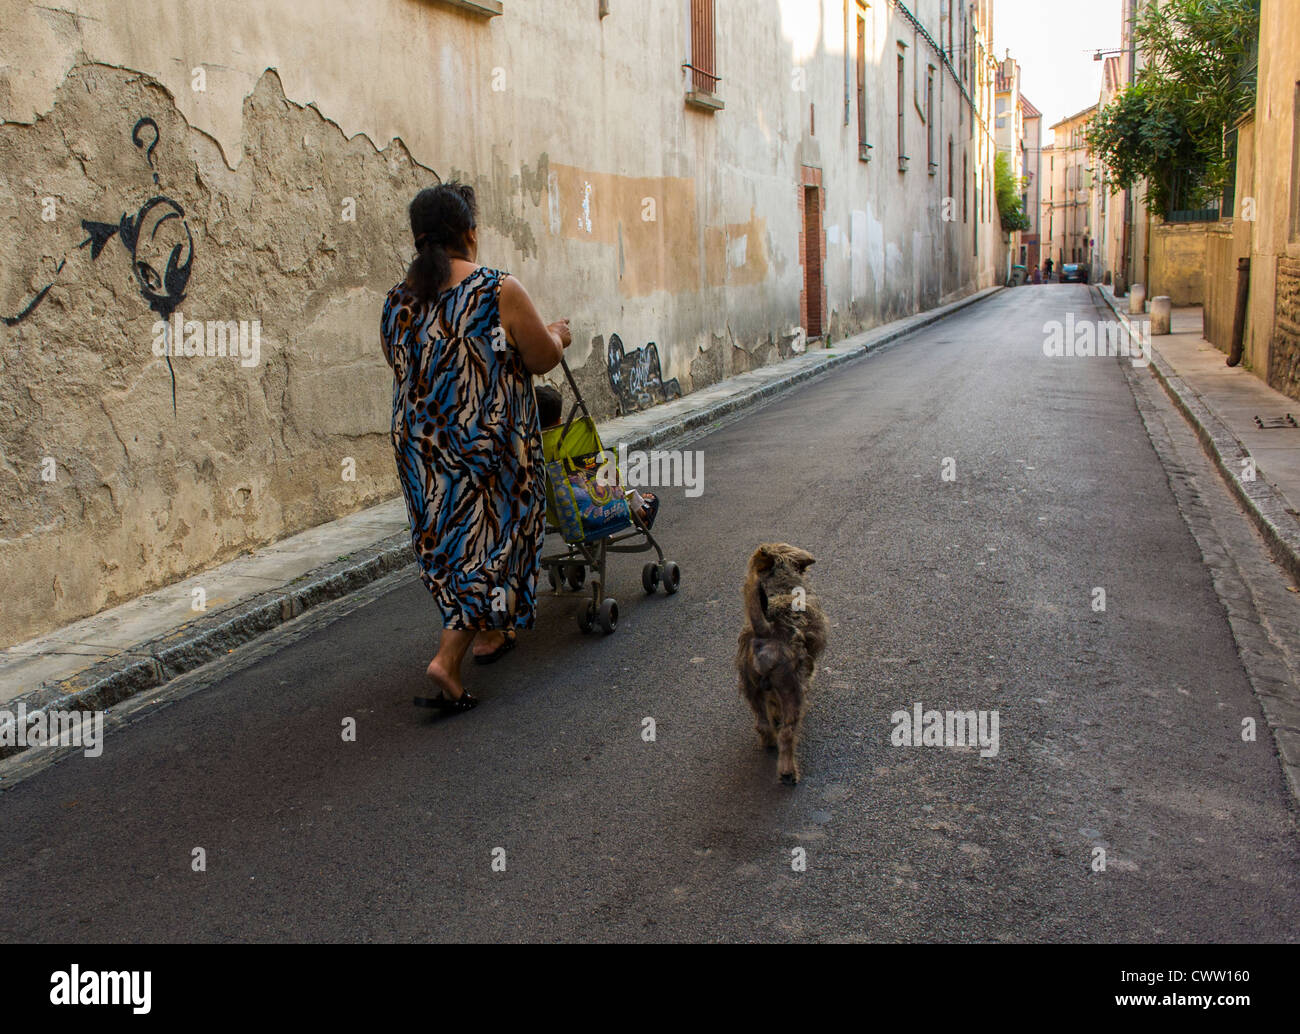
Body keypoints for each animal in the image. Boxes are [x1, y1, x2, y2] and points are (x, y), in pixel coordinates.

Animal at [738, 546, 826, 780]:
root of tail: (766, 631)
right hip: (791, 692)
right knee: (787, 734)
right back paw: (788, 772)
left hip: (752, 689)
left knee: (762, 724)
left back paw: (769, 741)